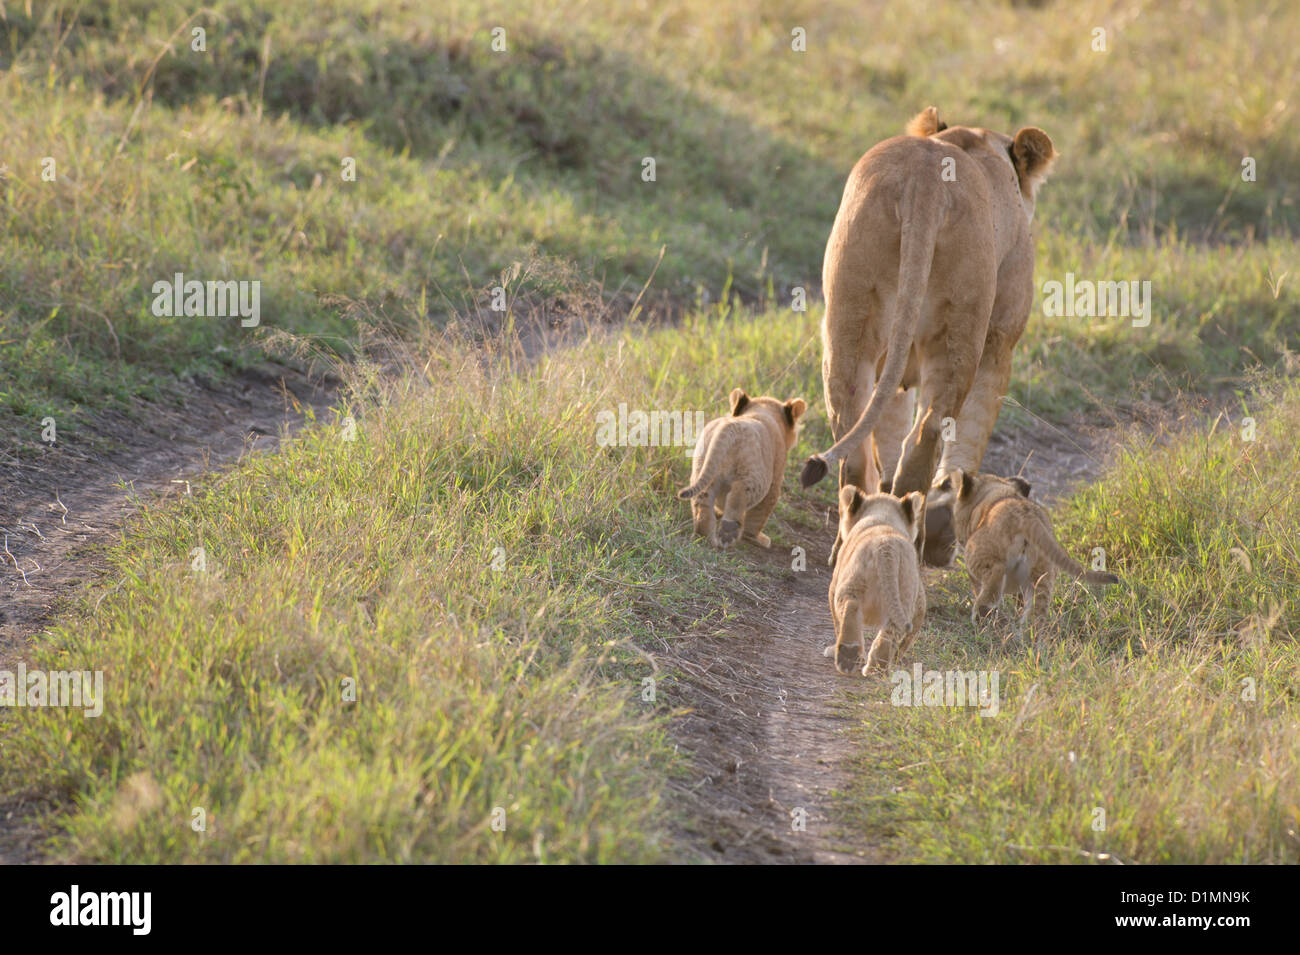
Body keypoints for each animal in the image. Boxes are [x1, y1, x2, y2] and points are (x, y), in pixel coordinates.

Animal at [678, 388, 807, 548]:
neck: (764, 411)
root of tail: (730, 427)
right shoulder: (775, 482)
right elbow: (759, 515)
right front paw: (756, 538)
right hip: (754, 477)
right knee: (738, 495)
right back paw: (728, 533)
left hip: (703, 469)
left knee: (702, 502)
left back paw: (704, 538)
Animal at [798, 106, 1058, 569]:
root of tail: (925, 180)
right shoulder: (1000, 340)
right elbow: (968, 438)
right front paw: (944, 531)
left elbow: (889, 424)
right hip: (961, 331)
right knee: (928, 433)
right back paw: (912, 538)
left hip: (849, 315)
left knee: (852, 428)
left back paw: (861, 532)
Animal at [824, 486, 926, 675]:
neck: (884, 516)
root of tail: (887, 548)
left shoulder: (834, 583)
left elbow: (836, 622)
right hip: (903, 595)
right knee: (891, 630)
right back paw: (875, 669)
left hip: (852, 582)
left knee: (850, 607)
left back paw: (847, 657)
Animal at [932, 469, 1120, 625]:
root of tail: (1027, 516)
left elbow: (978, 587)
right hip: (1042, 572)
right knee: (1037, 611)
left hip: (977, 554)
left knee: (995, 574)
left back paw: (982, 615)